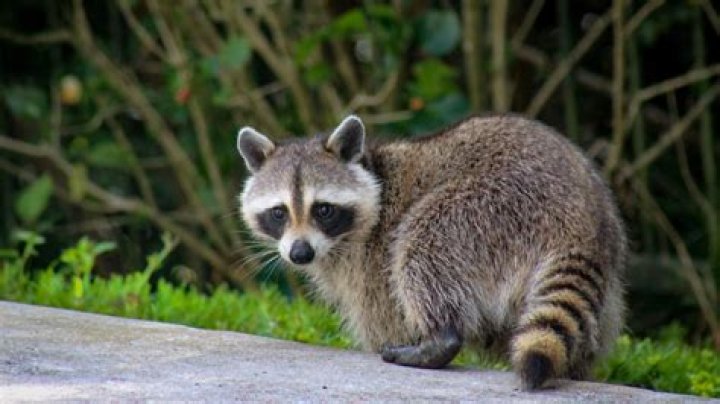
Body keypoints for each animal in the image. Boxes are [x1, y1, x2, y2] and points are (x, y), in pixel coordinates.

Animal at [236, 114, 627, 390]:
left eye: (323, 210)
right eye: (279, 213)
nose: (300, 253)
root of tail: (580, 217)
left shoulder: (372, 262)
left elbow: (385, 317)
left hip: (491, 207)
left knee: (422, 241)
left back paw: (440, 338)